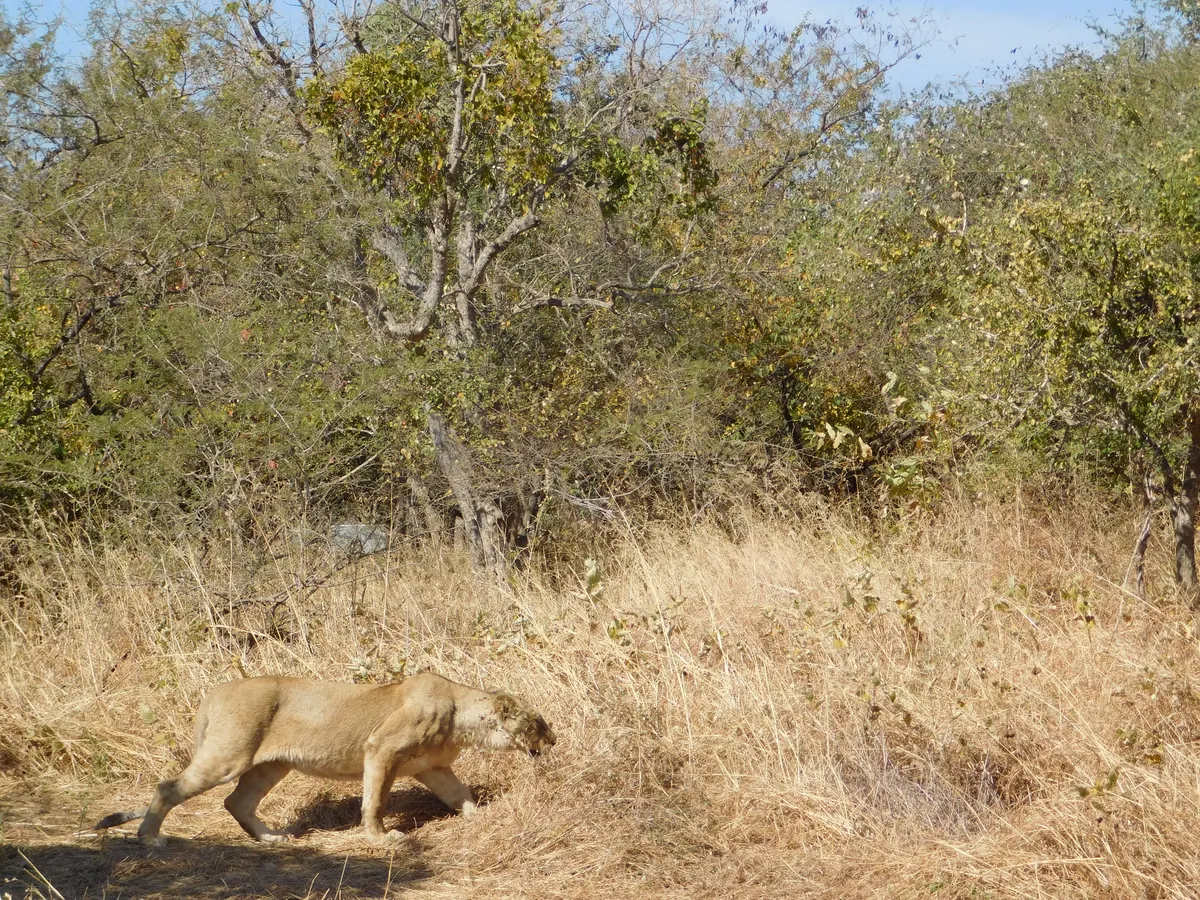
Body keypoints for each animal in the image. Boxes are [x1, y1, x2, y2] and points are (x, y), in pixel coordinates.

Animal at [95, 672, 556, 846]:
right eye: (539, 722)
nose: (554, 740)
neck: (461, 714)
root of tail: (217, 690)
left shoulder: (433, 768)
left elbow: (461, 796)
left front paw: (484, 817)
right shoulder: (380, 749)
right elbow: (375, 801)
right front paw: (381, 839)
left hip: (269, 766)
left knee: (236, 802)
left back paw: (272, 839)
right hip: (228, 757)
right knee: (168, 787)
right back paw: (149, 839)